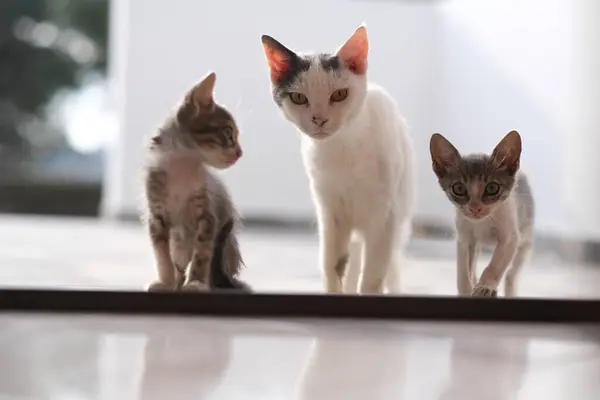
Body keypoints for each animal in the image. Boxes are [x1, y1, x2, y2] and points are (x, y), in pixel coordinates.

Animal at [144, 71, 250, 290]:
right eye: (228, 133)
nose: (240, 153)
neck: (182, 168)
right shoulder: (156, 216)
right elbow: (162, 254)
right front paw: (165, 281)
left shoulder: (208, 217)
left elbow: (202, 254)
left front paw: (196, 283)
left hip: (228, 245)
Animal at [260, 25, 414, 294]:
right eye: (298, 98)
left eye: (340, 94)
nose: (319, 119)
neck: (343, 149)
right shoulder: (330, 213)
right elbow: (332, 266)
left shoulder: (385, 216)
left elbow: (373, 276)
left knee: (391, 266)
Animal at [432, 131, 536, 296]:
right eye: (459, 189)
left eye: (492, 188)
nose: (475, 208)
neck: (482, 223)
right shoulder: (463, 237)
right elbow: (463, 269)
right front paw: (466, 290)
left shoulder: (510, 237)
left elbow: (495, 265)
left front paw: (485, 286)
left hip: (525, 239)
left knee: (511, 274)